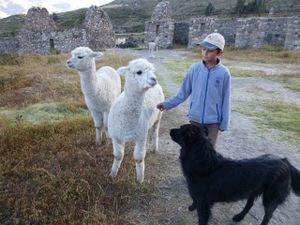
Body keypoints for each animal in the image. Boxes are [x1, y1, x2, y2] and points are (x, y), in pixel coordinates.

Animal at [170, 124, 298, 224]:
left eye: (180, 129)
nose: (170, 130)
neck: (206, 164)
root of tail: (284, 161)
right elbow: (194, 201)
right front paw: (192, 207)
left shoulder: (204, 204)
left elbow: (202, 219)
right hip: (253, 190)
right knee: (249, 204)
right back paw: (239, 217)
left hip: (270, 198)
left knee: (268, 215)